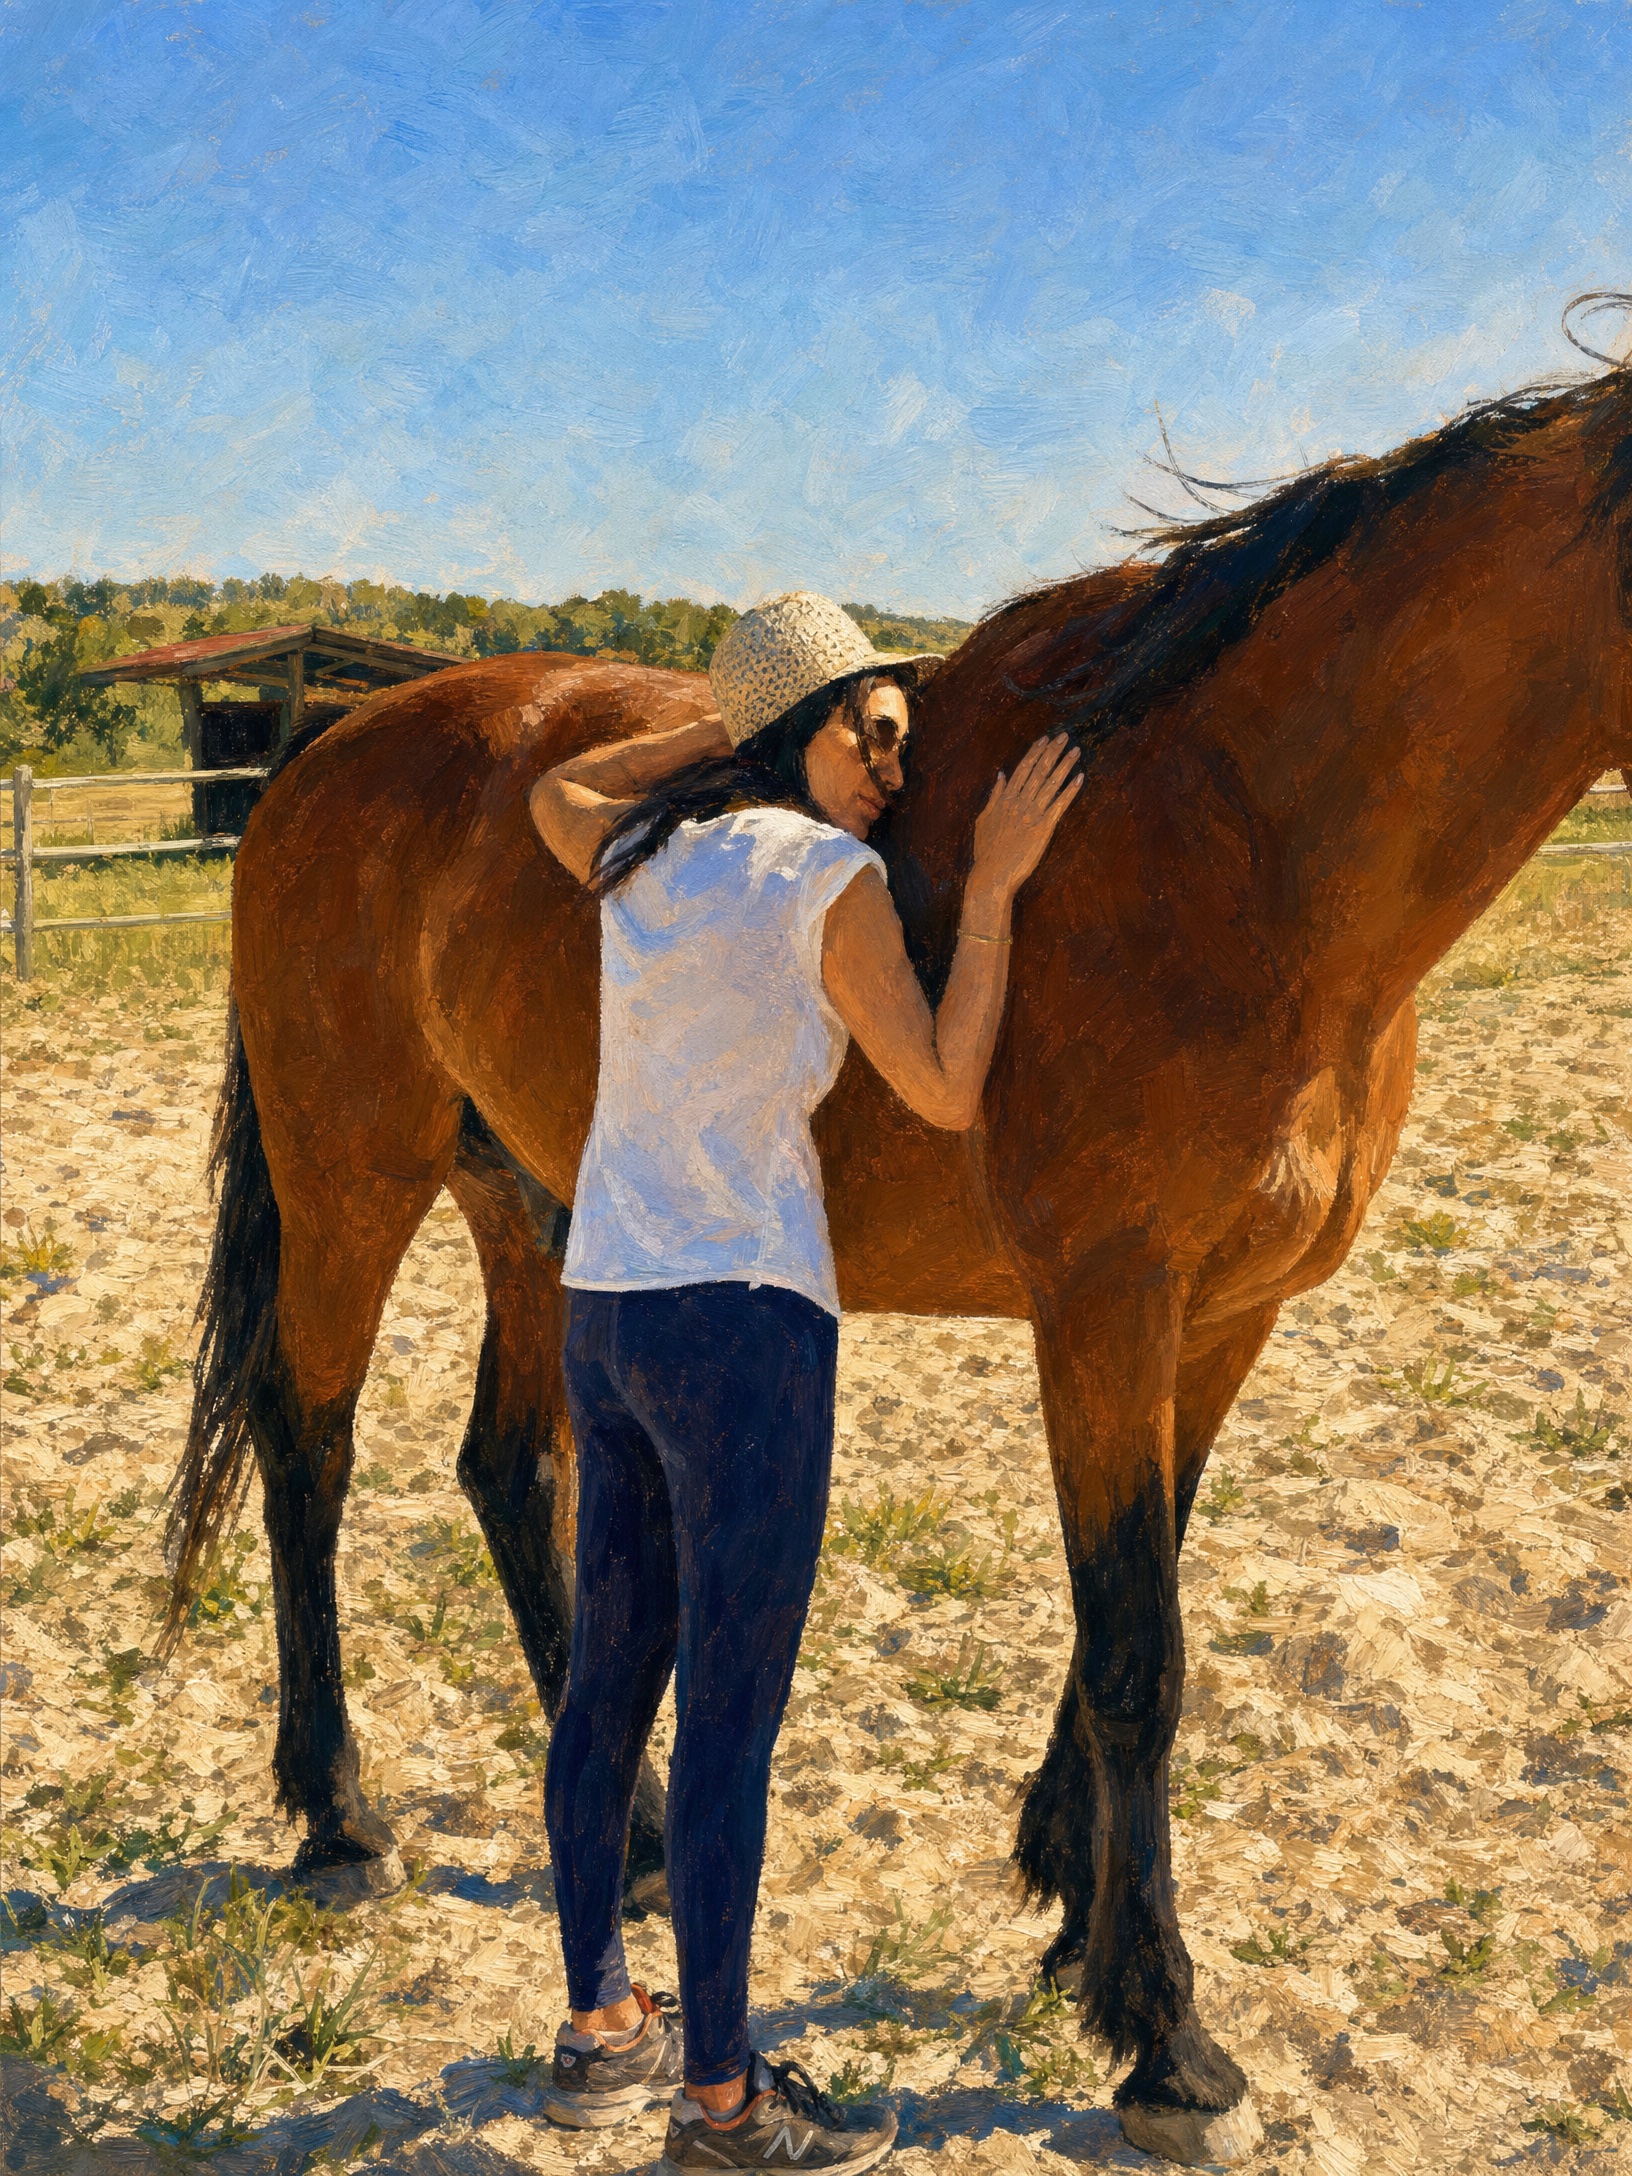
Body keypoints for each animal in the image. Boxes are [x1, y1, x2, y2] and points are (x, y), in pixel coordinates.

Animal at [164, 353, 1631, 2163]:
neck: (1241, 837)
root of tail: (319, 756)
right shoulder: (1106, 1306)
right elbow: (1137, 1648)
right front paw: (1165, 2036)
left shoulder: (1218, 1322)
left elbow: (1136, 1600)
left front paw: (1075, 1908)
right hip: (350, 1179)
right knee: (308, 1445)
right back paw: (341, 1814)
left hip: (533, 1204)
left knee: (513, 1469)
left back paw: (630, 1842)